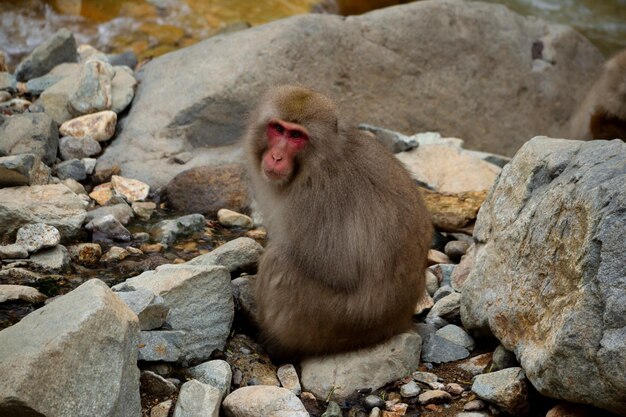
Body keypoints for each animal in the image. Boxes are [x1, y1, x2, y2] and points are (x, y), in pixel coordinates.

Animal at [245, 85, 434, 358]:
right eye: (278, 129)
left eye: (296, 136)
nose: (277, 157)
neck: (317, 159)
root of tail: (395, 322)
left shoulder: (315, 197)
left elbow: (337, 270)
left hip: (328, 323)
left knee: (278, 259)